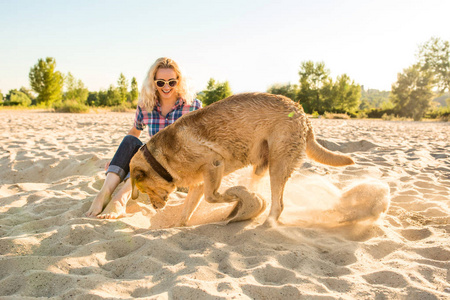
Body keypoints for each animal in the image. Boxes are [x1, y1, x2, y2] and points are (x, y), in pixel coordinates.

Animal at [130, 92, 356, 226]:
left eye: (145, 190)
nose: (155, 208)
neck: (160, 161)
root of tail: (303, 115)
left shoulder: (214, 164)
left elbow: (212, 196)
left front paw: (234, 197)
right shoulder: (199, 183)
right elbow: (186, 211)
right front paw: (177, 226)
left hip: (278, 165)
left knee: (278, 204)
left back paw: (265, 221)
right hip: (261, 165)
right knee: (261, 188)